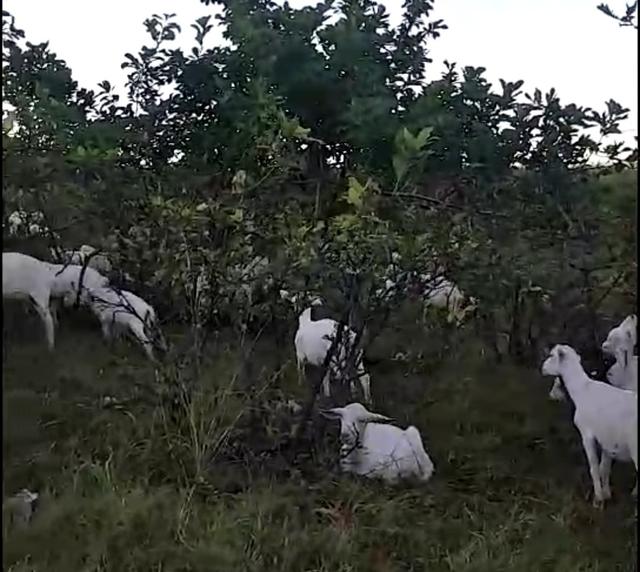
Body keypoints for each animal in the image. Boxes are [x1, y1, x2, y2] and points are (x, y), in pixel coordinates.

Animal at [540, 342, 636, 508]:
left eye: (552, 355)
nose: (543, 368)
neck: (582, 391)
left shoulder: (587, 435)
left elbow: (594, 468)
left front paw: (598, 499)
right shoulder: (607, 441)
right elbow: (604, 468)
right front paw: (607, 494)